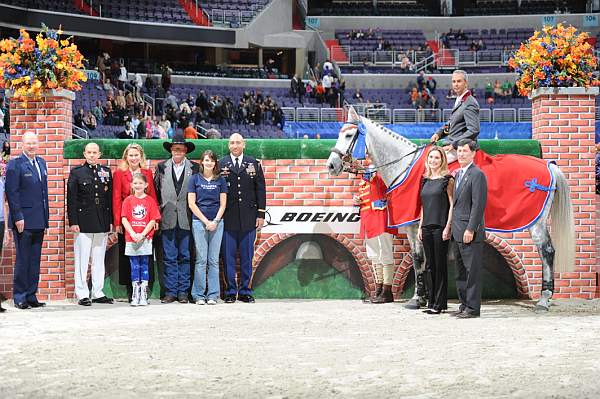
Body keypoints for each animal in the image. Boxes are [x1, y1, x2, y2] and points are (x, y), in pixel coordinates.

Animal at [328, 108, 576, 312]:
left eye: (349, 135)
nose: (331, 165)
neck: (406, 167)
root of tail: (549, 165)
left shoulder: (414, 226)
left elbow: (419, 259)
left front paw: (417, 299)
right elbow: (422, 259)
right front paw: (424, 298)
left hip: (536, 223)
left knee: (547, 251)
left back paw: (544, 299)